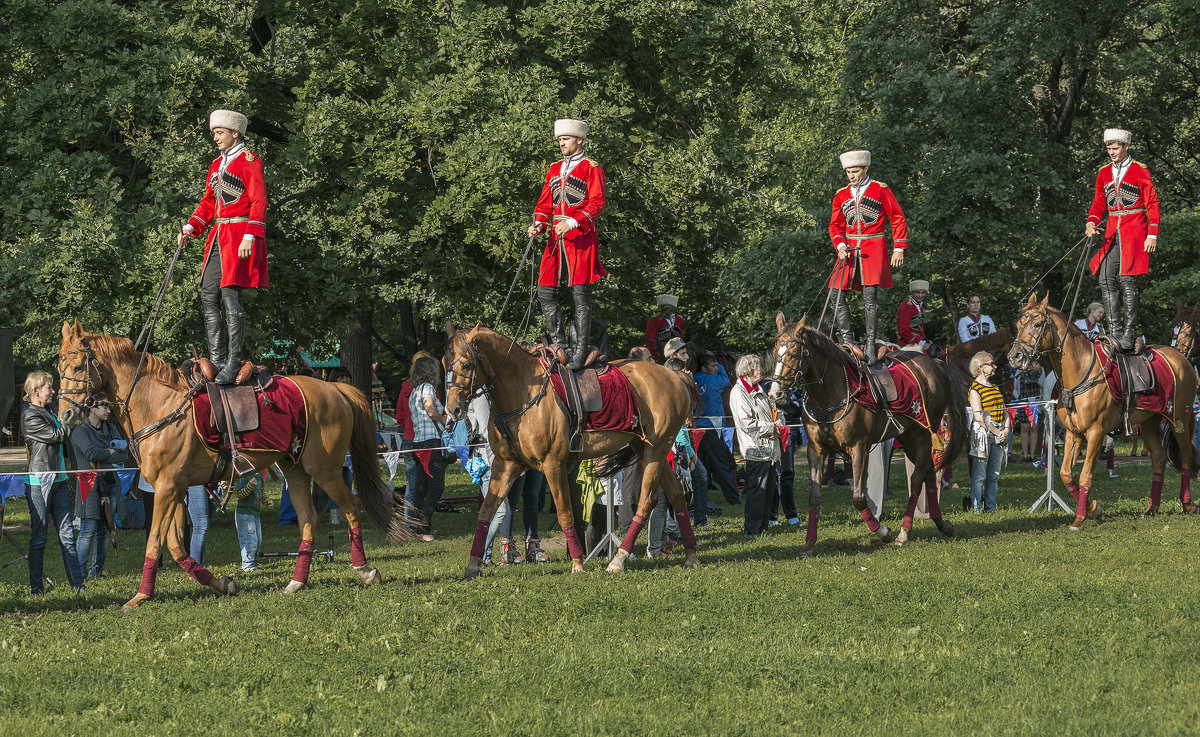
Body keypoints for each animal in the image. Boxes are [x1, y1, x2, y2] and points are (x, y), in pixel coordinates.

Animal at [57, 321, 408, 609]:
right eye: (59, 368)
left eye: (78, 366)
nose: (66, 415)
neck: (161, 407)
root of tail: (336, 388)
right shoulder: (174, 489)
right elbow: (175, 546)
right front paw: (220, 583)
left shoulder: (168, 489)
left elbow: (156, 541)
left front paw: (141, 596)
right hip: (294, 468)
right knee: (309, 519)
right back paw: (297, 581)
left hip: (325, 470)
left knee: (352, 507)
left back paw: (365, 570)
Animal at [444, 326, 700, 580]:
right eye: (445, 362)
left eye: (466, 365)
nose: (452, 409)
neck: (523, 392)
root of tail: (675, 376)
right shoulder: (505, 465)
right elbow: (486, 511)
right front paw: (473, 565)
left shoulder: (553, 464)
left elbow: (564, 511)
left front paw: (577, 562)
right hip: (647, 448)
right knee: (676, 494)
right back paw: (690, 554)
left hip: (656, 449)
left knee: (647, 501)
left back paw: (618, 560)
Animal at [768, 309, 964, 554]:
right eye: (774, 352)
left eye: (794, 354)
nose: (774, 393)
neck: (829, 395)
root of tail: (934, 365)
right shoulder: (816, 449)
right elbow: (815, 496)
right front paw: (809, 544)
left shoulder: (859, 448)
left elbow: (859, 498)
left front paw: (884, 532)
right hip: (907, 435)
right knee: (928, 472)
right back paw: (940, 523)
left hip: (923, 433)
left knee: (917, 479)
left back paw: (903, 532)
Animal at [1008, 291, 1195, 528]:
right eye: (1018, 324)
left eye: (1037, 324)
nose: (1015, 356)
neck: (1081, 372)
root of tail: (1181, 359)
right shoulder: (1074, 433)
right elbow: (1066, 474)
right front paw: (1093, 509)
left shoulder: (1096, 433)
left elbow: (1085, 475)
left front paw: (1079, 519)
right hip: (1149, 423)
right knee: (1159, 459)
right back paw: (1151, 508)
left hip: (1179, 419)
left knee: (1186, 457)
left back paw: (1188, 504)